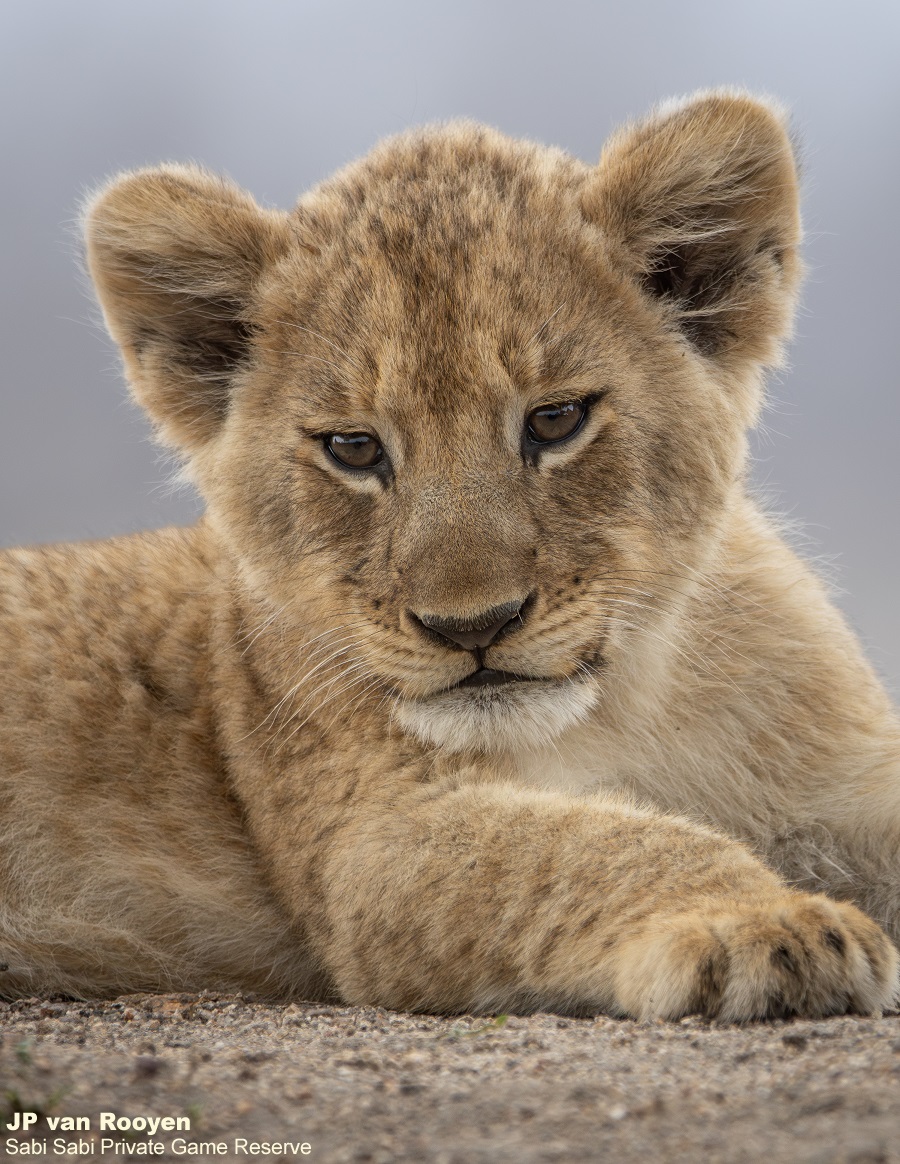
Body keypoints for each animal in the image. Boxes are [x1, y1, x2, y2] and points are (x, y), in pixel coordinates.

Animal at [1, 90, 898, 1021]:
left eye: (556, 420)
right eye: (354, 448)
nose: (474, 626)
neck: (632, 704)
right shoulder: (374, 840)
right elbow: (602, 847)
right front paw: (765, 924)